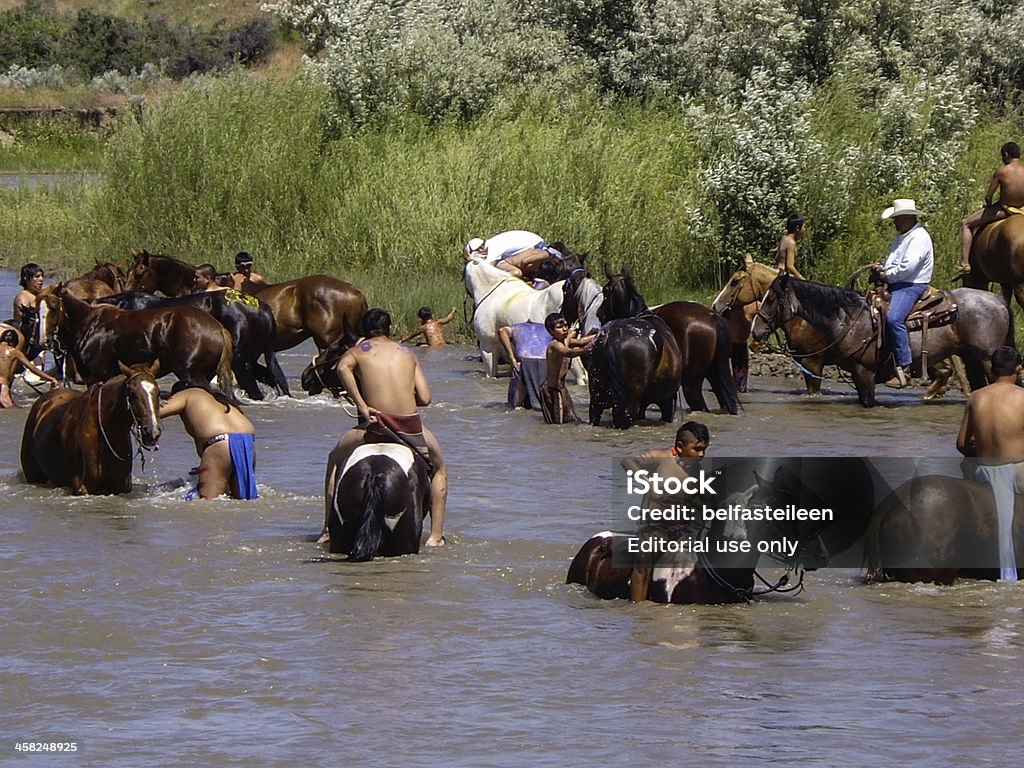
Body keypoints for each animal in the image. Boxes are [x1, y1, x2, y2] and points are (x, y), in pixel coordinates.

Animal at [38, 286, 235, 399]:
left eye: (54, 307)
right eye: (37, 308)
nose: (44, 341)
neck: (90, 325)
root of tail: (218, 328)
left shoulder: (96, 377)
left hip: (194, 376)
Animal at [749, 274, 1003, 411]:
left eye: (771, 299)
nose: (755, 330)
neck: (849, 319)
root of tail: (998, 300)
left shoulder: (862, 370)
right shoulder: (855, 372)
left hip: (987, 359)